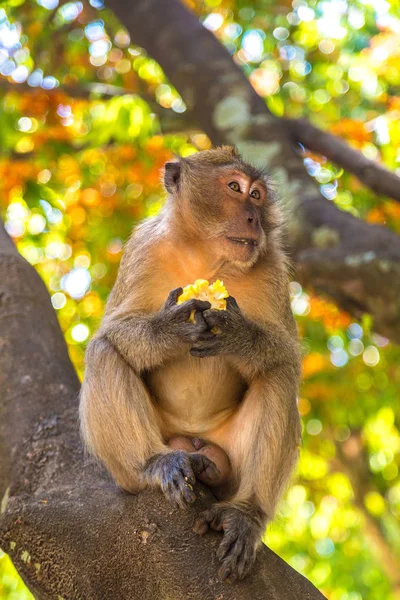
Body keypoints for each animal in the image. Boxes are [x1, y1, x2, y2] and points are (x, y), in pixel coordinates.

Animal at [80, 145, 300, 580]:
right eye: (234, 187)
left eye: (257, 195)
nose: (254, 217)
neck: (206, 256)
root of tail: (195, 439)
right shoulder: (142, 249)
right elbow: (111, 330)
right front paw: (168, 330)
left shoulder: (271, 267)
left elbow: (287, 356)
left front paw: (238, 336)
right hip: (152, 447)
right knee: (104, 352)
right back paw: (154, 464)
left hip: (230, 457)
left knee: (279, 375)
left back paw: (245, 512)